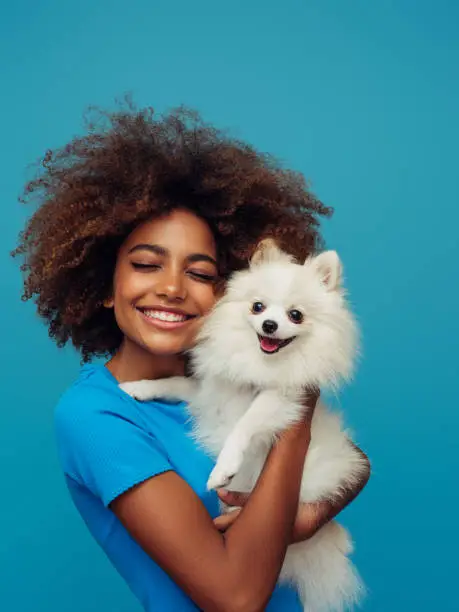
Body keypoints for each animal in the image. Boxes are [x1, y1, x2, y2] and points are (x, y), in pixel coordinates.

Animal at [120, 239, 368, 612]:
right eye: (257, 307)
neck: (259, 364)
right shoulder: (208, 391)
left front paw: (223, 470)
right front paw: (137, 388)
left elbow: (244, 425)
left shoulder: (282, 400)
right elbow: (174, 382)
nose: (269, 325)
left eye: (296, 315)